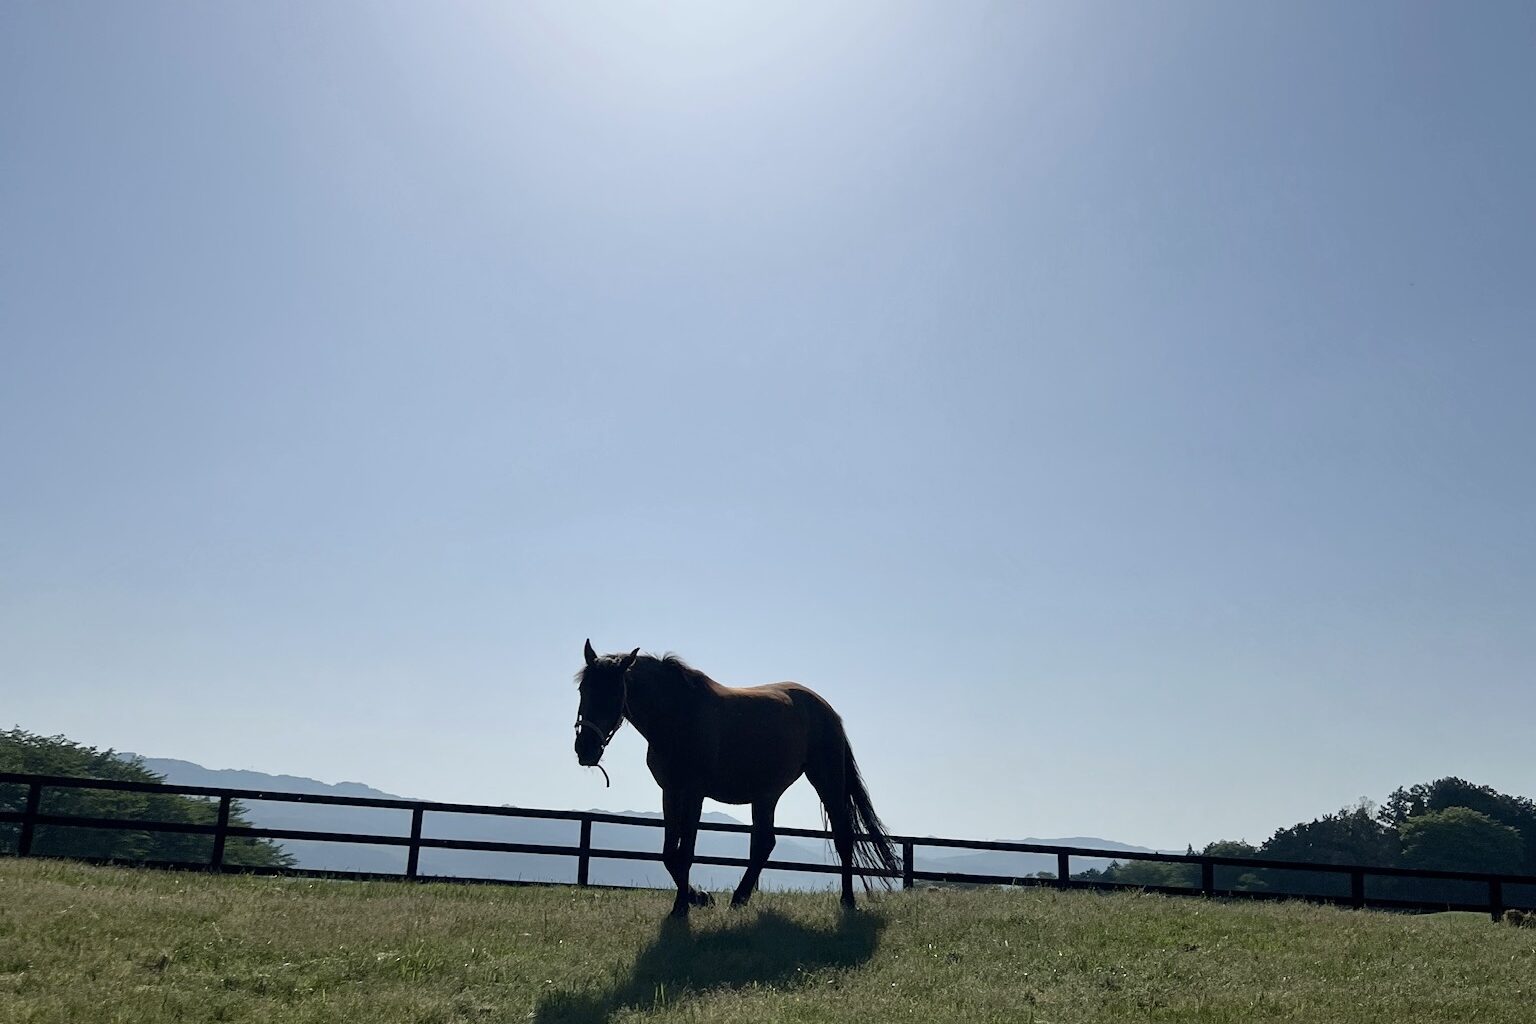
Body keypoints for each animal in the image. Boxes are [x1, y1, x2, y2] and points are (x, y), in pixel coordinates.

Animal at [573, 640, 900, 918]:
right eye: (583, 691)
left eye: (615, 693)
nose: (585, 749)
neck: (678, 715)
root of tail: (826, 708)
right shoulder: (670, 791)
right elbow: (668, 855)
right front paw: (699, 897)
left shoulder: (694, 793)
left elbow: (685, 853)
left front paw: (682, 907)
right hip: (766, 794)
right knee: (764, 844)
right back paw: (739, 898)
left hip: (826, 780)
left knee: (843, 836)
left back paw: (847, 901)